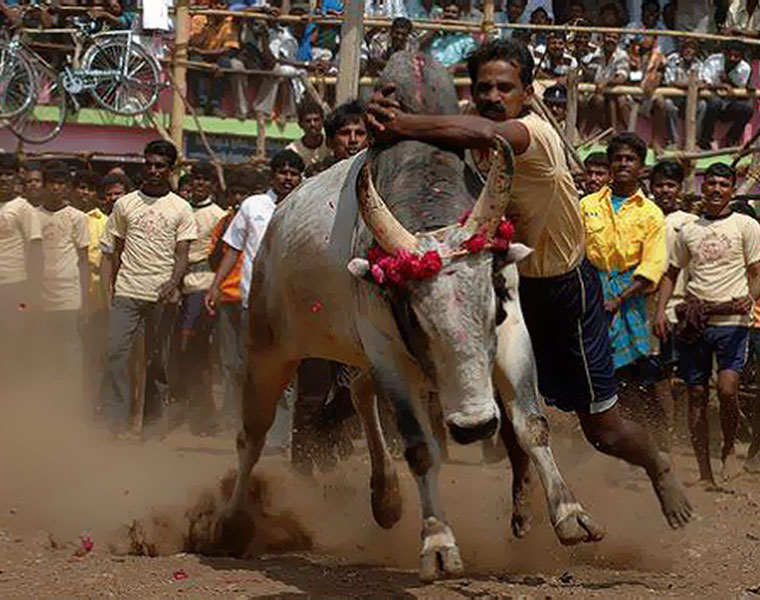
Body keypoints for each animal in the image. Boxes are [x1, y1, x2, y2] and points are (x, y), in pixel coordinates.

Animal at [217, 55, 604, 580]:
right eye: (418, 319)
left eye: (493, 307)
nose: (474, 426)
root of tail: (277, 217)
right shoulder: (389, 351)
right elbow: (421, 448)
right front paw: (438, 543)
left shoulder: (512, 334)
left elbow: (531, 424)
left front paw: (570, 515)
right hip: (269, 347)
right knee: (251, 437)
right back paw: (232, 523)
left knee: (359, 394)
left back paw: (386, 498)